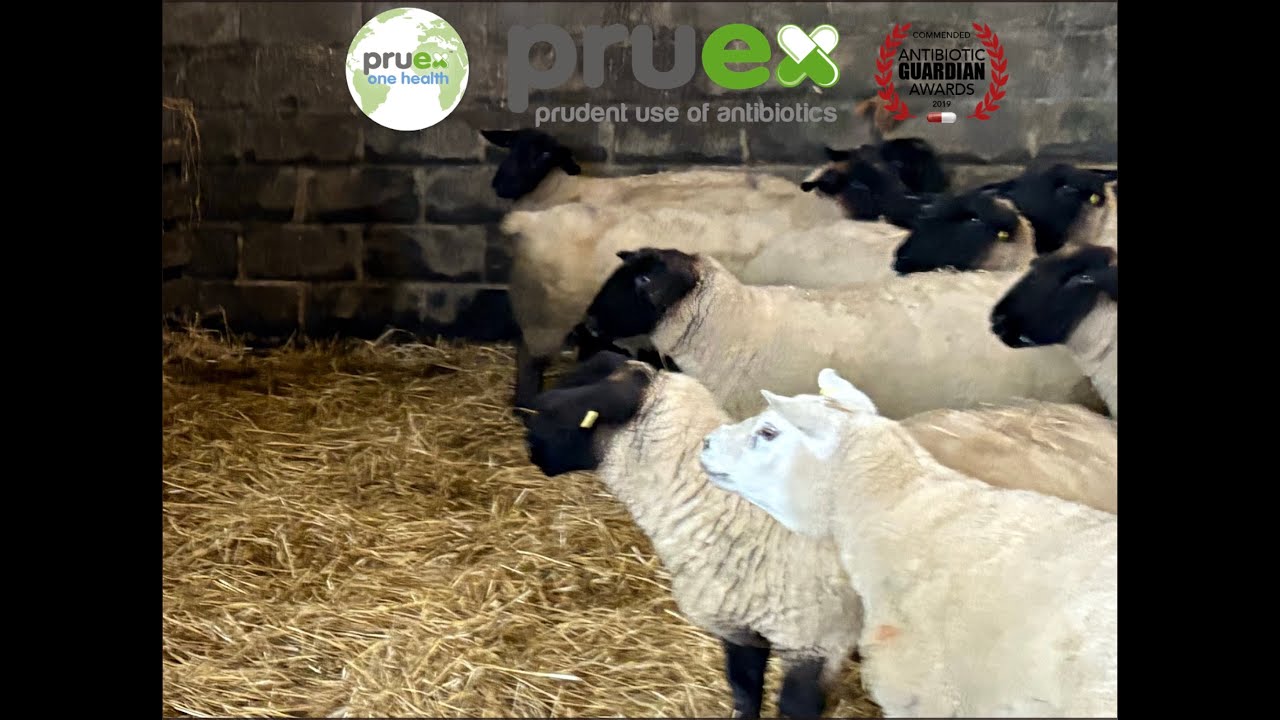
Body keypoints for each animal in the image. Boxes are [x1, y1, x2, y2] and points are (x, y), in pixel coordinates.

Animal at [523, 354, 863, 718]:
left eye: (563, 411)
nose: (532, 454)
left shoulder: (817, 642)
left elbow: (788, 704)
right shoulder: (740, 626)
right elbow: (745, 689)